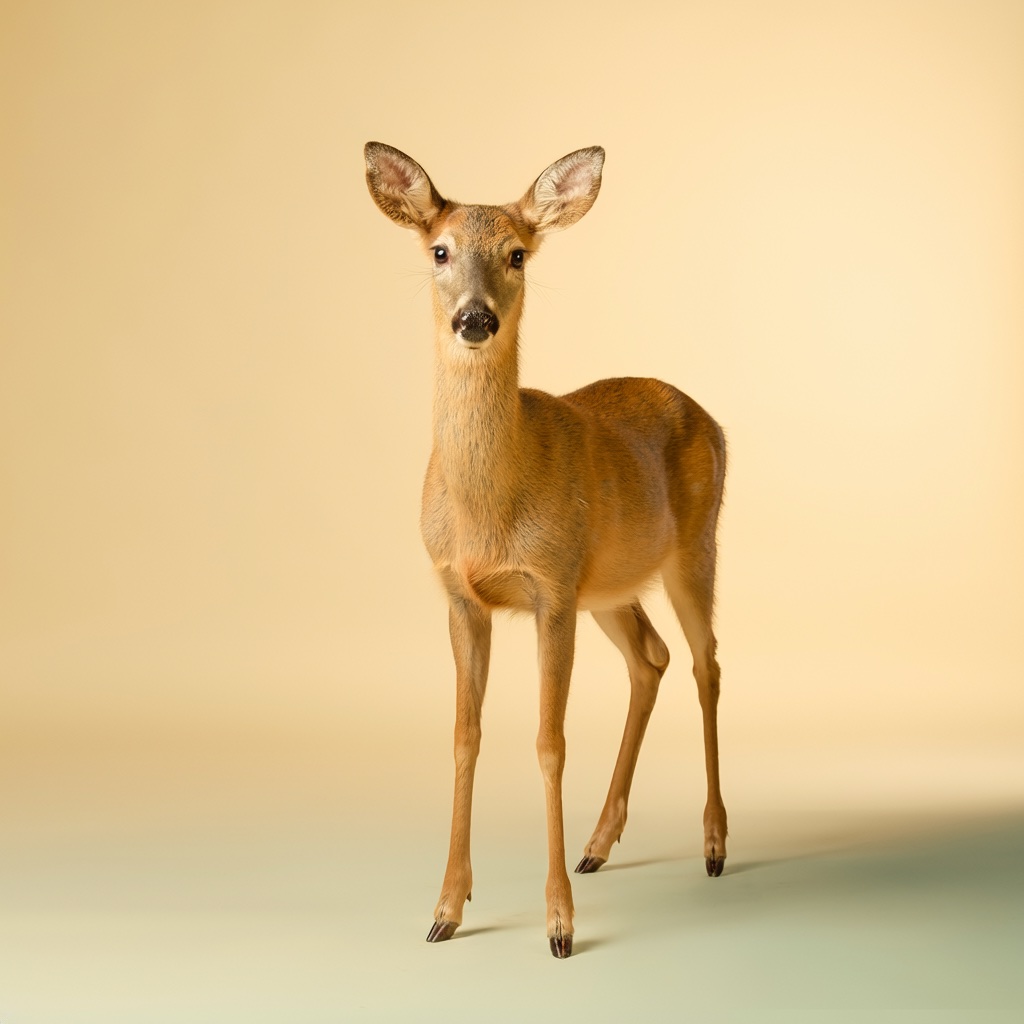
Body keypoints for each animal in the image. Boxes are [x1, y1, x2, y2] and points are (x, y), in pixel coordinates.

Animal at [363, 142, 729, 958]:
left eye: (518, 254)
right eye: (439, 250)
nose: (476, 318)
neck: (490, 509)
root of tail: (712, 418)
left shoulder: (550, 589)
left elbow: (549, 740)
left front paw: (559, 923)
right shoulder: (462, 596)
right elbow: (464, 736)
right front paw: (447, 908)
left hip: (695, 547)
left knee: (706, 664)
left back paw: (716, 844)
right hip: (611, 586)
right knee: (651, 659)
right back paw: (599, 842)